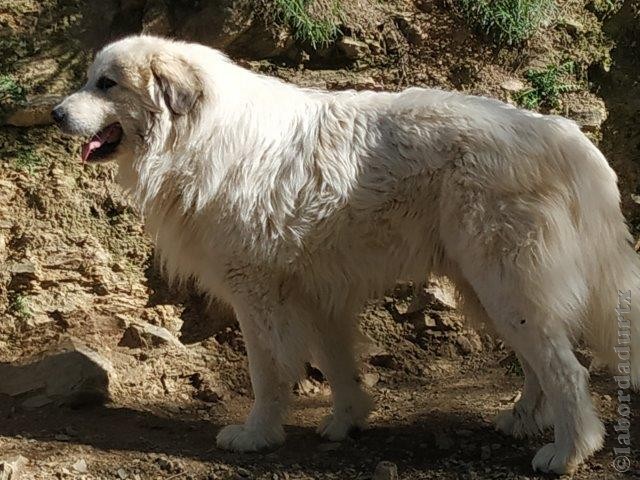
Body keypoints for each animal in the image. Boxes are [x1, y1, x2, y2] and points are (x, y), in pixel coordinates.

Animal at [52, 35, 636, 474]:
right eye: (89, 79)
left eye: (106, 83)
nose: (55, 113)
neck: (197, 134)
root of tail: (565, 137)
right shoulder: (318, 292)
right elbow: (336, 363)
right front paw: (346, 421)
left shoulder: (255, 290)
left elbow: (267, 371)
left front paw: (258, 434)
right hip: (488, 287)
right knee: (538, 360)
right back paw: (524, 419)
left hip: (505, 279)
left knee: (567, 369)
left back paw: (567, 451)